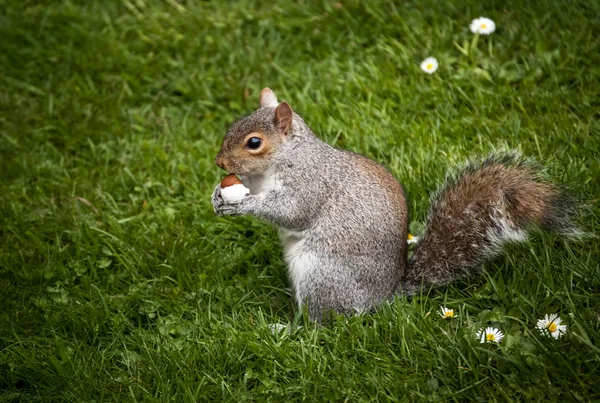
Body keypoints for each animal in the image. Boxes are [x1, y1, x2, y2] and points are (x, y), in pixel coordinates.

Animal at [210, 87, 576, 322]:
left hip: (322, 276)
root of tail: (385, 297)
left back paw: (288, 328)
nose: (219, 162)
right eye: (232, 126)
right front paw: (218, 195)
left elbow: (292, 212)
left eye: (254, 142)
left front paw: (244, 206)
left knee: (324, 322)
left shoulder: (310, 184)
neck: (281, 162)